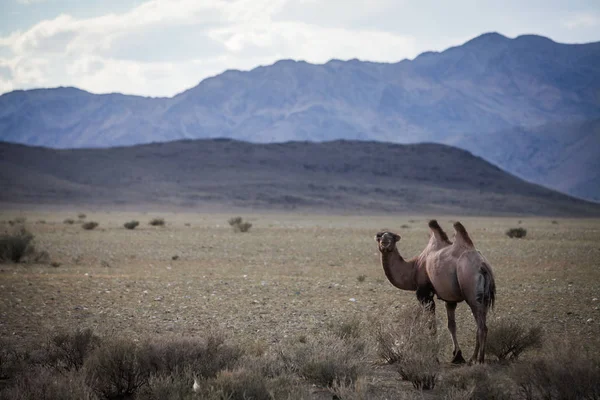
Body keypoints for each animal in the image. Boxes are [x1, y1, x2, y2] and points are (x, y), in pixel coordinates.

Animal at [376, 220, 496, 364]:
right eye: (379, 236)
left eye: (393, 237)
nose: (385, 243)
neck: (414, 268)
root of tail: (483, 265)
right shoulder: (449, 299)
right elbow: (451, 325)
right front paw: (457, 356)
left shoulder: (424, 293)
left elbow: (431, 325)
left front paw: (434, 357)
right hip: (484, 297)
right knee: (482, 323)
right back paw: (476, 358)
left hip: (471, 292)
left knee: (481, 326)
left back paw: (477, 359)